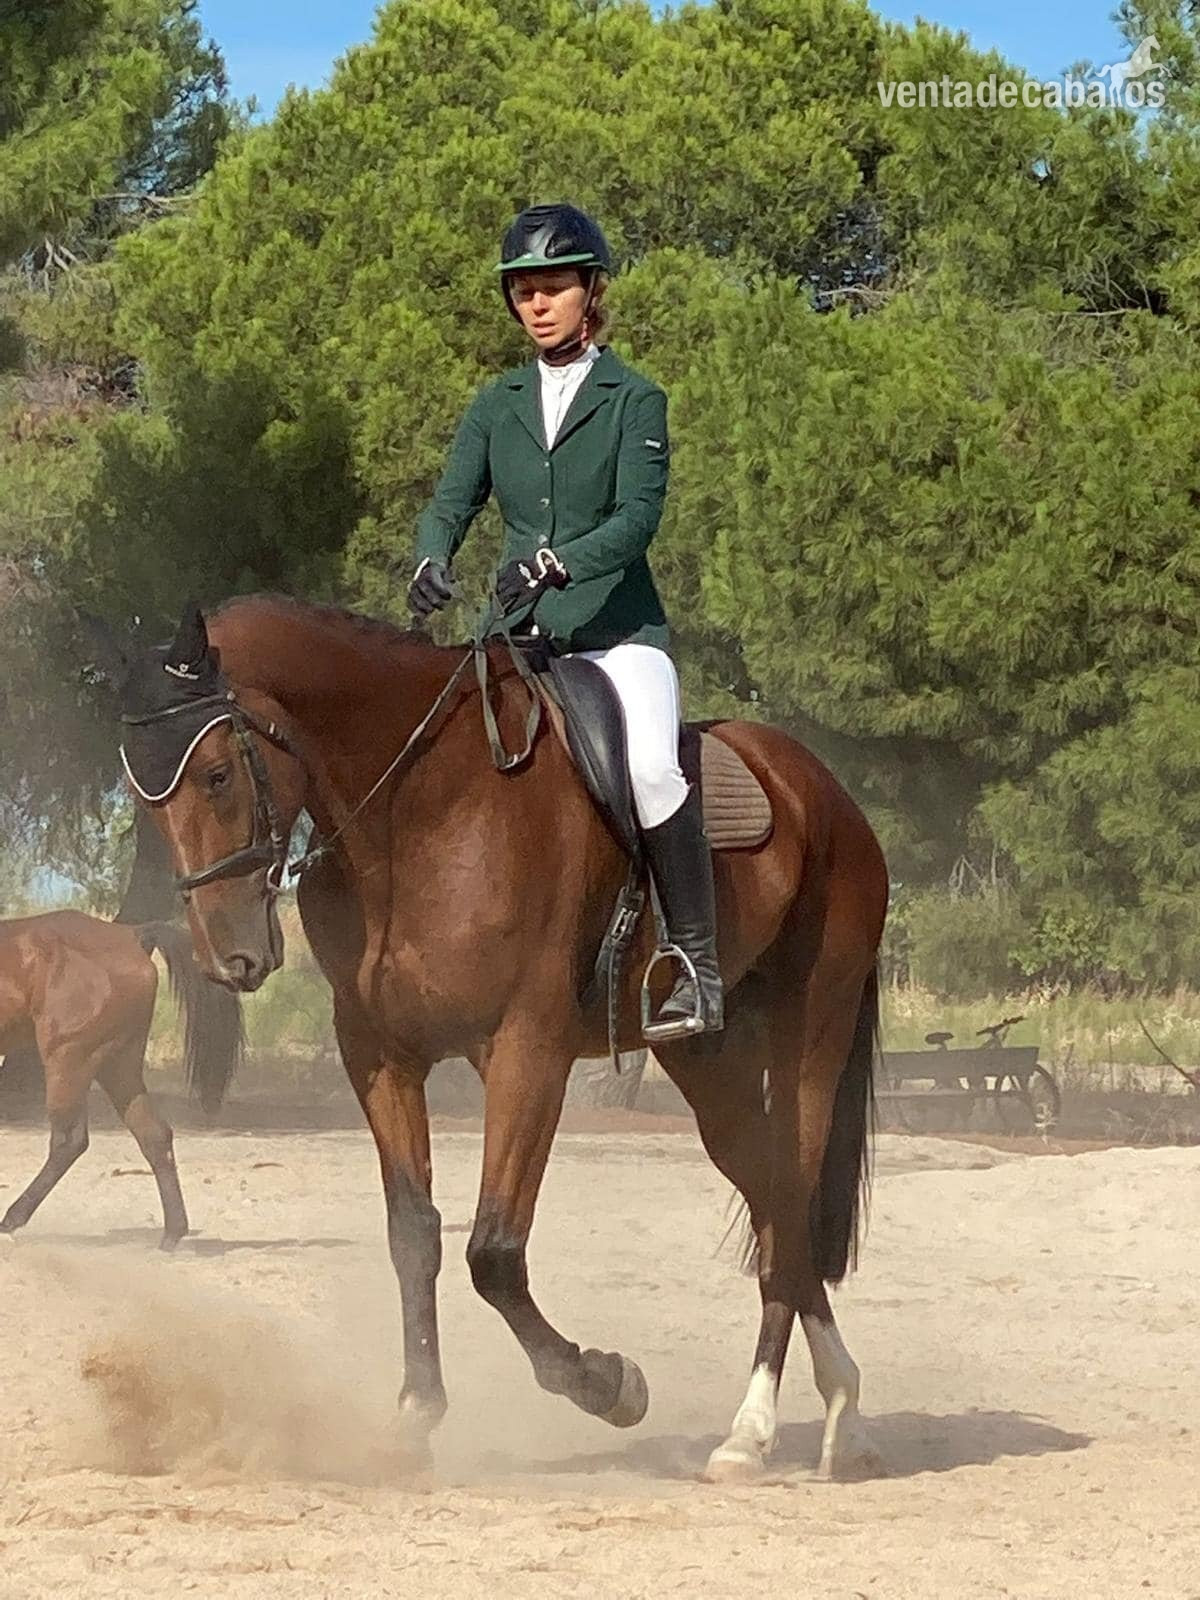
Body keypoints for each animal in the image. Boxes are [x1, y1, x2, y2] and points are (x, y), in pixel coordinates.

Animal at [0, 910, 243, 1249]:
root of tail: (131, 936)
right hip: (118, 1065)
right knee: (154, 1135)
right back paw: (172, 1235)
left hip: (70, 1059)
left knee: (68, 1141)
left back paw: (10, 1220)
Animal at [116, 594, 888, 1482]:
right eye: (147, 801)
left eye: (216, 775)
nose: (227, 957)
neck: (418, 812)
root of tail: (821, 787)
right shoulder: (380, 1056)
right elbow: (414, 1234)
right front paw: (415, 1414)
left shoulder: (527, 1054)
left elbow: (492, 1251)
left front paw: (608, 1383)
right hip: (704, 1063)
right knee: (771, 1200)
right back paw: (839, 1405)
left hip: (810, 1035)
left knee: (789, 1198)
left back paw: (753, 1430)